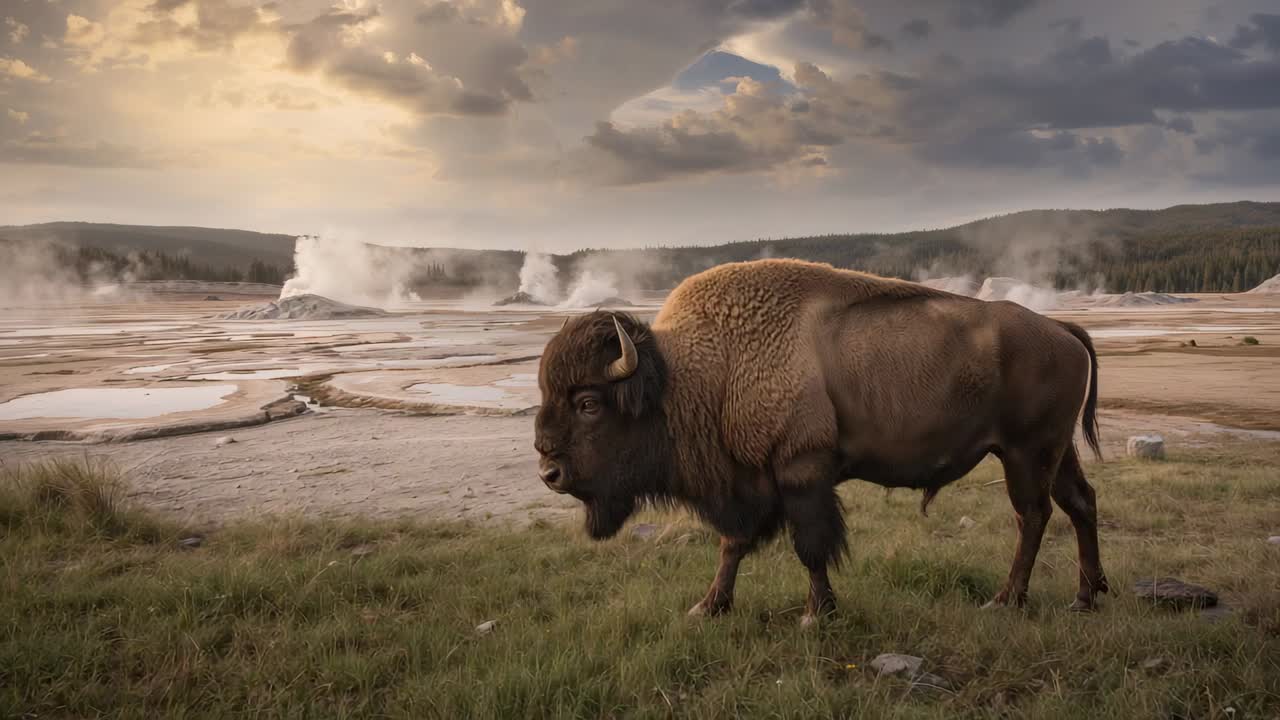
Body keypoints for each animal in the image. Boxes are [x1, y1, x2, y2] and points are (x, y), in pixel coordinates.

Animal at [535, 259, 1107, 625]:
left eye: (589, 403)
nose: (549, 472)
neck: (692, 377)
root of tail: (1061, 329)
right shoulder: (750, 483)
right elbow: (732, 545)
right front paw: (707, 608)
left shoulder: (801, 470)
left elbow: (810, 547)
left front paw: (816, 616)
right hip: (1055, 452)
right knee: (1080, 503)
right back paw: (1086, 597)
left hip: (1026, 453)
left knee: (1032, 516)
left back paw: (1006, 600)